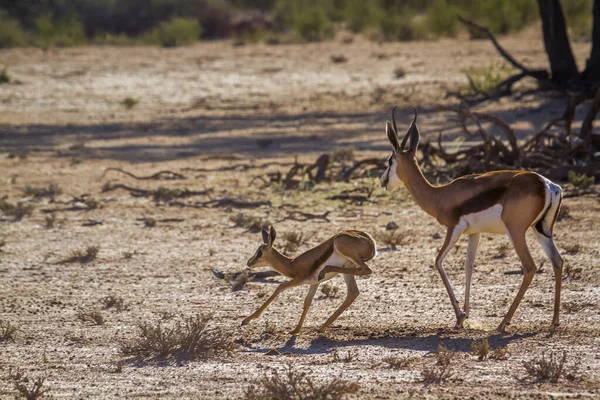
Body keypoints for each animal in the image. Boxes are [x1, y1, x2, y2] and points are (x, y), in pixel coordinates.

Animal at [243, 225, 376, 334]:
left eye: (260, 252)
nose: (249, 262)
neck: (291, 264)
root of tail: (371, 242)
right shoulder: (314, 283)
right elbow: (307, 302)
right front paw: (295, 330)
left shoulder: (298, 280)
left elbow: (279, 287)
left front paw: (246, 320)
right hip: (348, 267)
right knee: (353, 291)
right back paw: (322, 327)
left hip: (342, 248)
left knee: (366, 270)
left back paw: (325, 271)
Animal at [380, 106, 564, 332]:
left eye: (390, 161)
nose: (383, 181)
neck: (440, 195)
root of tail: (548, 185)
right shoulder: (474, 233)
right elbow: (469, 267)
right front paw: (465, 315)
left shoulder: (454, 229)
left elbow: (438, 262)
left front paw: (459, 315)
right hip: (540, 230)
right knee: (557, 261)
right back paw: (554, 321)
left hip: (516, 231)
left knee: (529, 267)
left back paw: (503, 323)